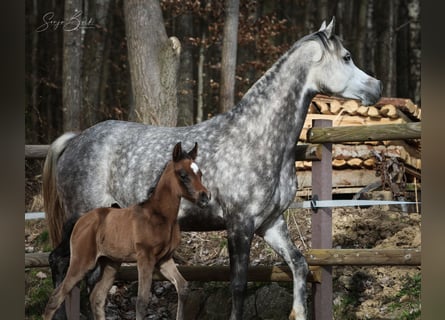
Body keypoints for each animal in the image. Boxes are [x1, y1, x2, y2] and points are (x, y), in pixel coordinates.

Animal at [42, 143, 209, 320]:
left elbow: (183, 287)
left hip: (110, 263)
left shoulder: (164, 259)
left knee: (97, 298)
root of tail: (80, 221)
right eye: (183, 175)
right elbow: (142, 301)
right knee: (55, 298)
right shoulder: (145, 258)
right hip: (81, 262)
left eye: (200, 173)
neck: (160, 216)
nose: (205, 197)